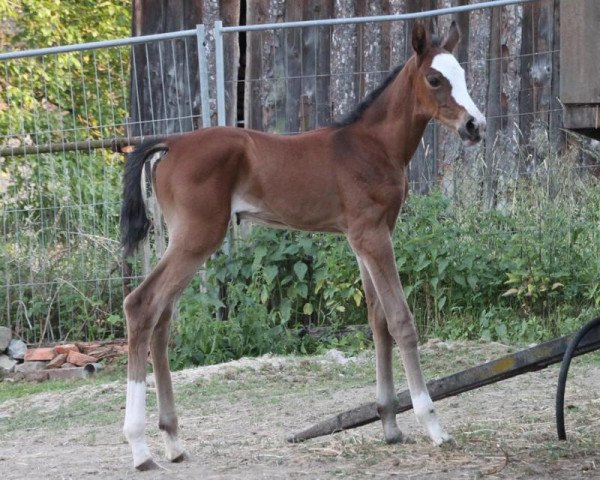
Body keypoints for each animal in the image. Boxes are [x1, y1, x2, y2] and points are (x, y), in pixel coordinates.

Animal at [120, 21, 482, 468]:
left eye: (462, 75)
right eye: (434, 79)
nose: (475, 125)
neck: (372, 145)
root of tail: (171, 144)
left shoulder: (363, 236)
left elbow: (377, 319)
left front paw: (389, 425)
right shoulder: (372, 234)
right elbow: (401, 320)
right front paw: (433, 425)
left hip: (183, 240)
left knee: (162, 316)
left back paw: (172, 440)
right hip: (198, 236)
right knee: (141, 305)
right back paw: (139, 447)